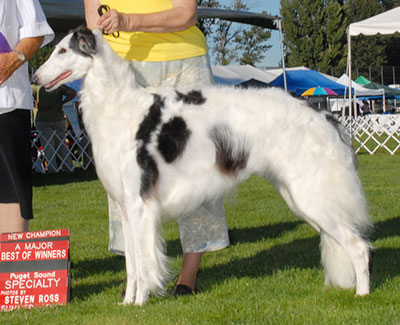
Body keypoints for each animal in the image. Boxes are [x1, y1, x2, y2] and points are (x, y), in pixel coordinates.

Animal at [32, 26, 374, 306]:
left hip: (311, 196)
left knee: (358, 247)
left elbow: (143, 263)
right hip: (299, 196)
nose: (35, 78)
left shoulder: (140, 205)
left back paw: (362, 294)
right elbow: (131, 266)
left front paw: (141, 302)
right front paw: (127, 302)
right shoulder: (126, 207)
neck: (118, 106)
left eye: (62, 51)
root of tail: (323, 115)